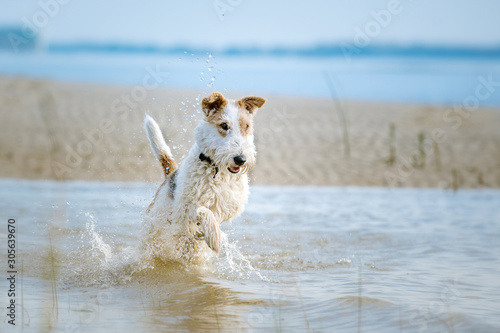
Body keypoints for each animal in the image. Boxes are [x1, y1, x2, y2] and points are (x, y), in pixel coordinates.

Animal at [142, 91, 266, 262]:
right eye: (224, 125)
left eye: (246, 126)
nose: (240, 159)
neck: (217, 170)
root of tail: (170, 173)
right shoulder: (184, 208)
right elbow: (204, 211)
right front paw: (214, 237)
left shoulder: (229, 208)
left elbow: (213, 215)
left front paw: (207, 234)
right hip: (155, 230)